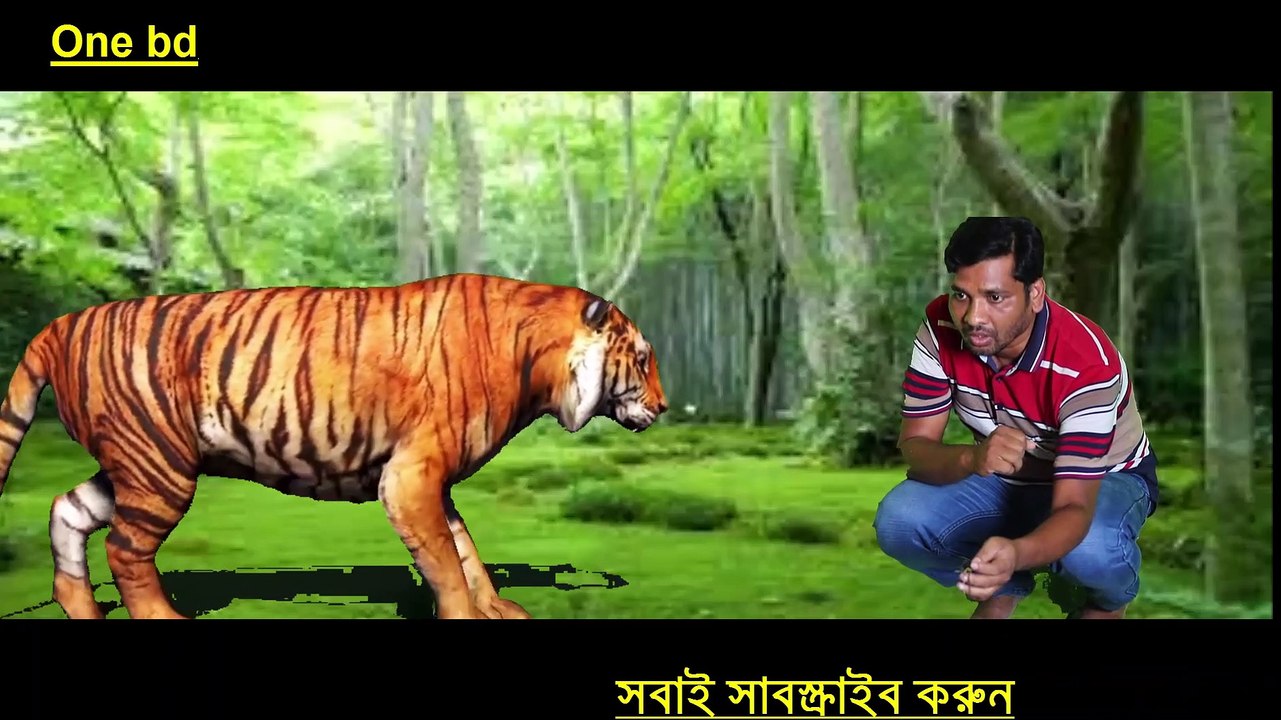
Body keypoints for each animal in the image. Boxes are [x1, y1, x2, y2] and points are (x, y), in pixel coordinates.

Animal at [0, 272, 668, 620]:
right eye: (641, 358)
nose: (663, 407)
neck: (537, 365)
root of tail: (63, 324)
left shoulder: (431, 480)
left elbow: (465, 551)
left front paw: (499, 611)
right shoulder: (411, 476)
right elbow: (446, 563)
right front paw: (466, 615)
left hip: (135, 467)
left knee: (67, 513)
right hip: (158, 465)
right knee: (124, 551)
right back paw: (165, 620)